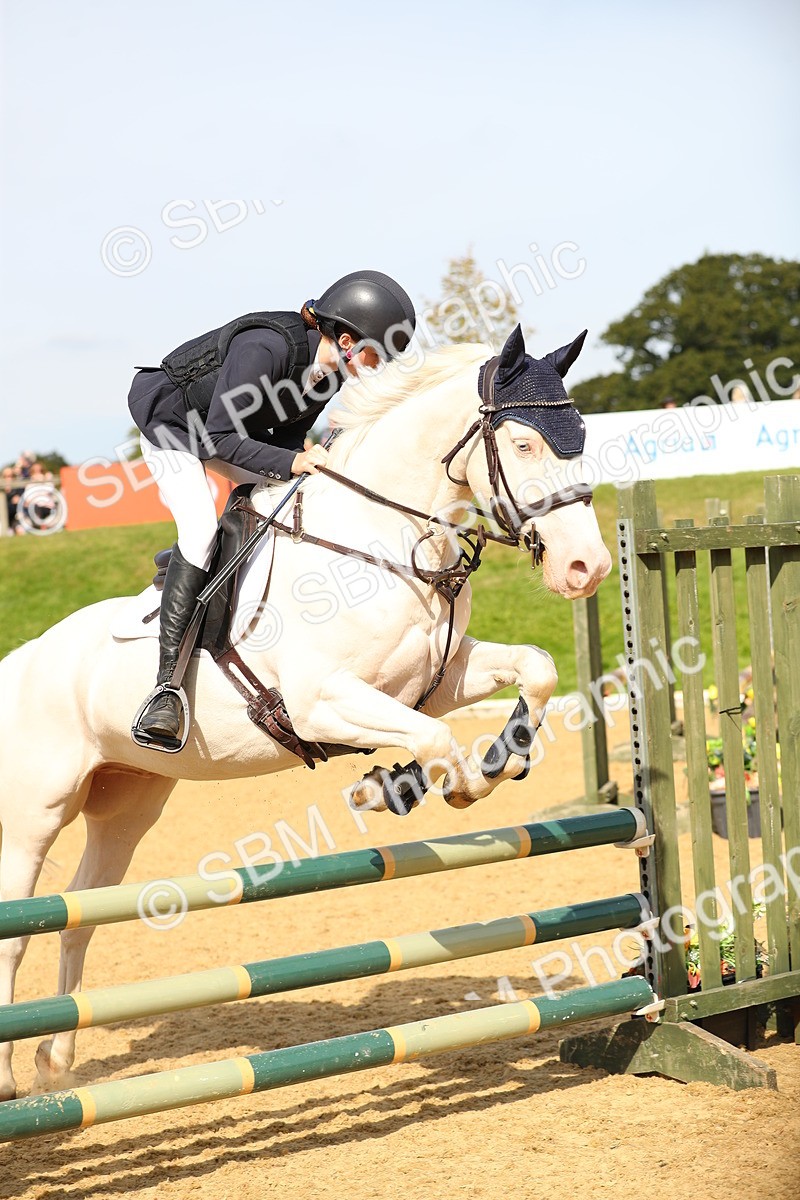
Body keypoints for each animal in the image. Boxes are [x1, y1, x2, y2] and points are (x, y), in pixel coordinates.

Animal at [0, 325, 612, 1099]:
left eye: (582, 435)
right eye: (526, 444)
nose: (587, 569)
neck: (385, 538)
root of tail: (20, 660)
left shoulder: (435, 677)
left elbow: (533, 669)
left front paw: (481, 764)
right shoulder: (324, 702)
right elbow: (437, 739)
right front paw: (419, 786)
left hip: (127, 803)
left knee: (79, 915)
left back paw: (55, 1063)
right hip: (36, 812)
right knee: (19, 928)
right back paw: (9, 1078)